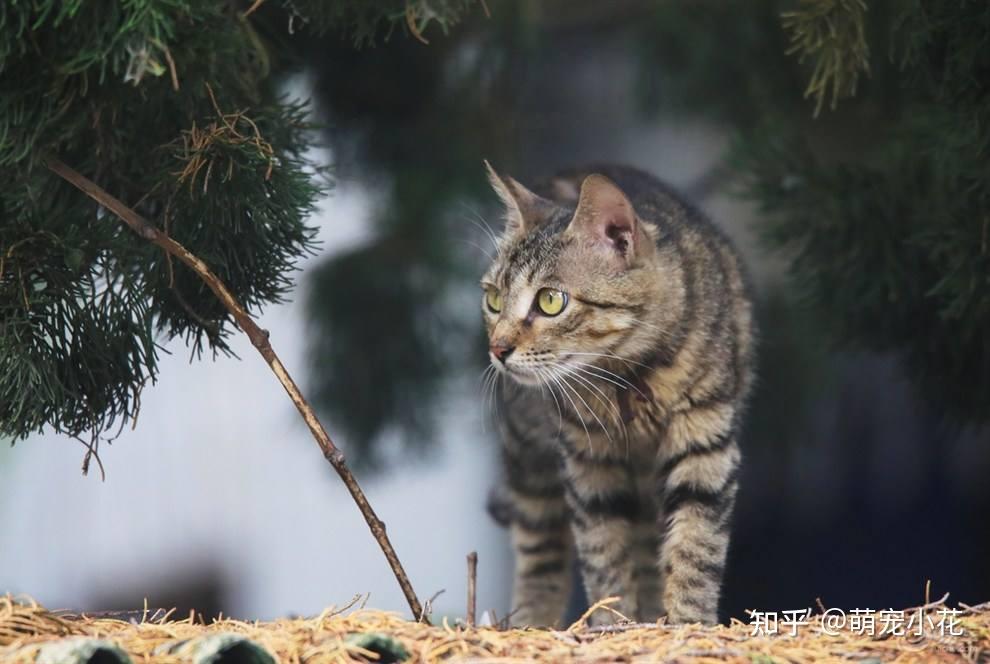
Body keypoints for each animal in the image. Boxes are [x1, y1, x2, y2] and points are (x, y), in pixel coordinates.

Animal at [484, 163, 756, 624]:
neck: (628, 375)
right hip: (529, 457)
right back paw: (532, 622)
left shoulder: (706, 440)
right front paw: (613, 623)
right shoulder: (586, 461)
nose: (498, 349)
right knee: (540, 551)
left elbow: (696, 547)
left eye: (551, 301)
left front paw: (687, 622)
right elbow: (603, 556)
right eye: (493, 299)